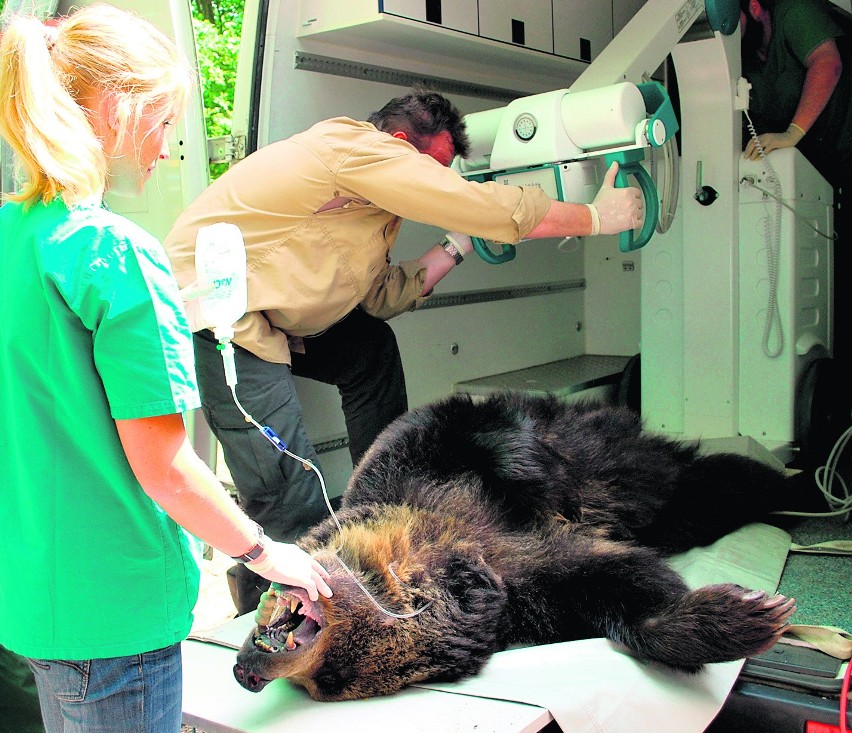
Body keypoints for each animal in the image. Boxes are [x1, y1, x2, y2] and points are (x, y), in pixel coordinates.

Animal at [231, 392, 792, 700]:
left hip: (631, 467)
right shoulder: (528, 588)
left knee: (704, 479)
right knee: (711, 496)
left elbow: (479, 433)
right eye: (331, 679)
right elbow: (614, 586)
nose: (245, 671)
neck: (438, 537)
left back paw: (789, 481)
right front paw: (740, 616)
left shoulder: (415, 458)